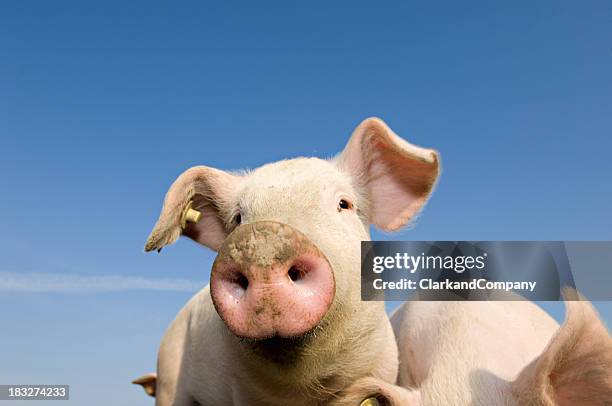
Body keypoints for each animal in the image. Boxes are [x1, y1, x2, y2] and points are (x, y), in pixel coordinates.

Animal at [133, 118, 440, 406]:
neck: (303, 390)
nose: (263, 240)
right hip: (169, 375)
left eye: (344, 204)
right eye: (238, 219)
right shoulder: (240, 390)